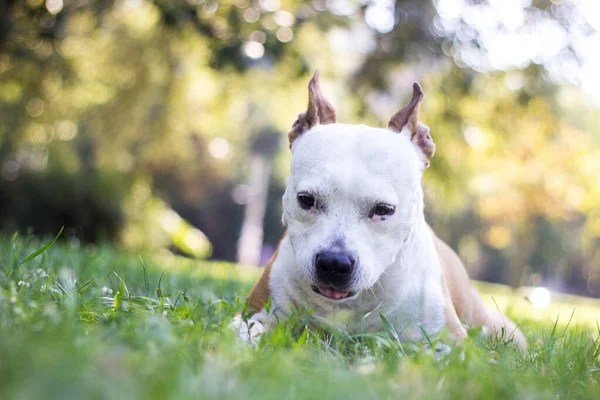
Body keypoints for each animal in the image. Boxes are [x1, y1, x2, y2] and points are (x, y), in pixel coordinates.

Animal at [232, 71, 528, 350]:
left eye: (384, 209)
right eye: (306, 200)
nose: (334, 263)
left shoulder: (450, 342)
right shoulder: (254, 312)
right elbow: (243, 333)